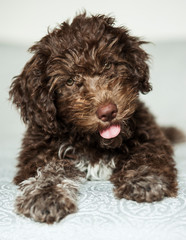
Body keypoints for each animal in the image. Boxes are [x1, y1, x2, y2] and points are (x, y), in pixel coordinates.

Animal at [9, 13, 182, 223]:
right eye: (70, 81)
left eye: (107, 65)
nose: (107, 112)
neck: (92, 140)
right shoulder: (38, 150)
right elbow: (47, 170)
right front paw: (45, 196)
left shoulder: (149, 134)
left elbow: (147, 154)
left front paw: (145, 179)